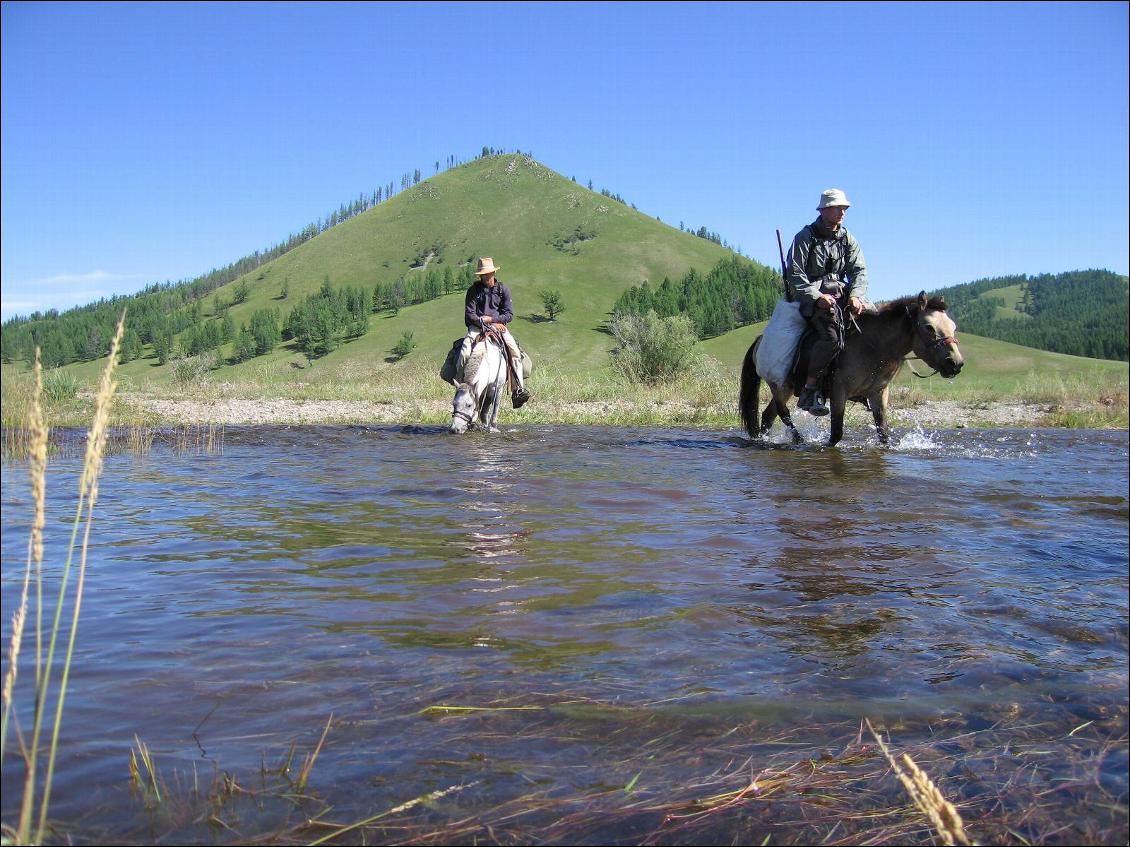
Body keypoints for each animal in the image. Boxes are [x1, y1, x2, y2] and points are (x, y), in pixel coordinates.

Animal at [741, 295, 962, 447]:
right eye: (928, 327)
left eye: (953, 326)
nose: (956, 363)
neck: (874, 346)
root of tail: (760, 340)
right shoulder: (839, 391)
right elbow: (836, 433)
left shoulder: (878, 393)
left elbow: (883, 432)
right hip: (777, 385)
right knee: (783, 413)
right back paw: (799, 440)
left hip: (786, 387)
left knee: (768, 415)